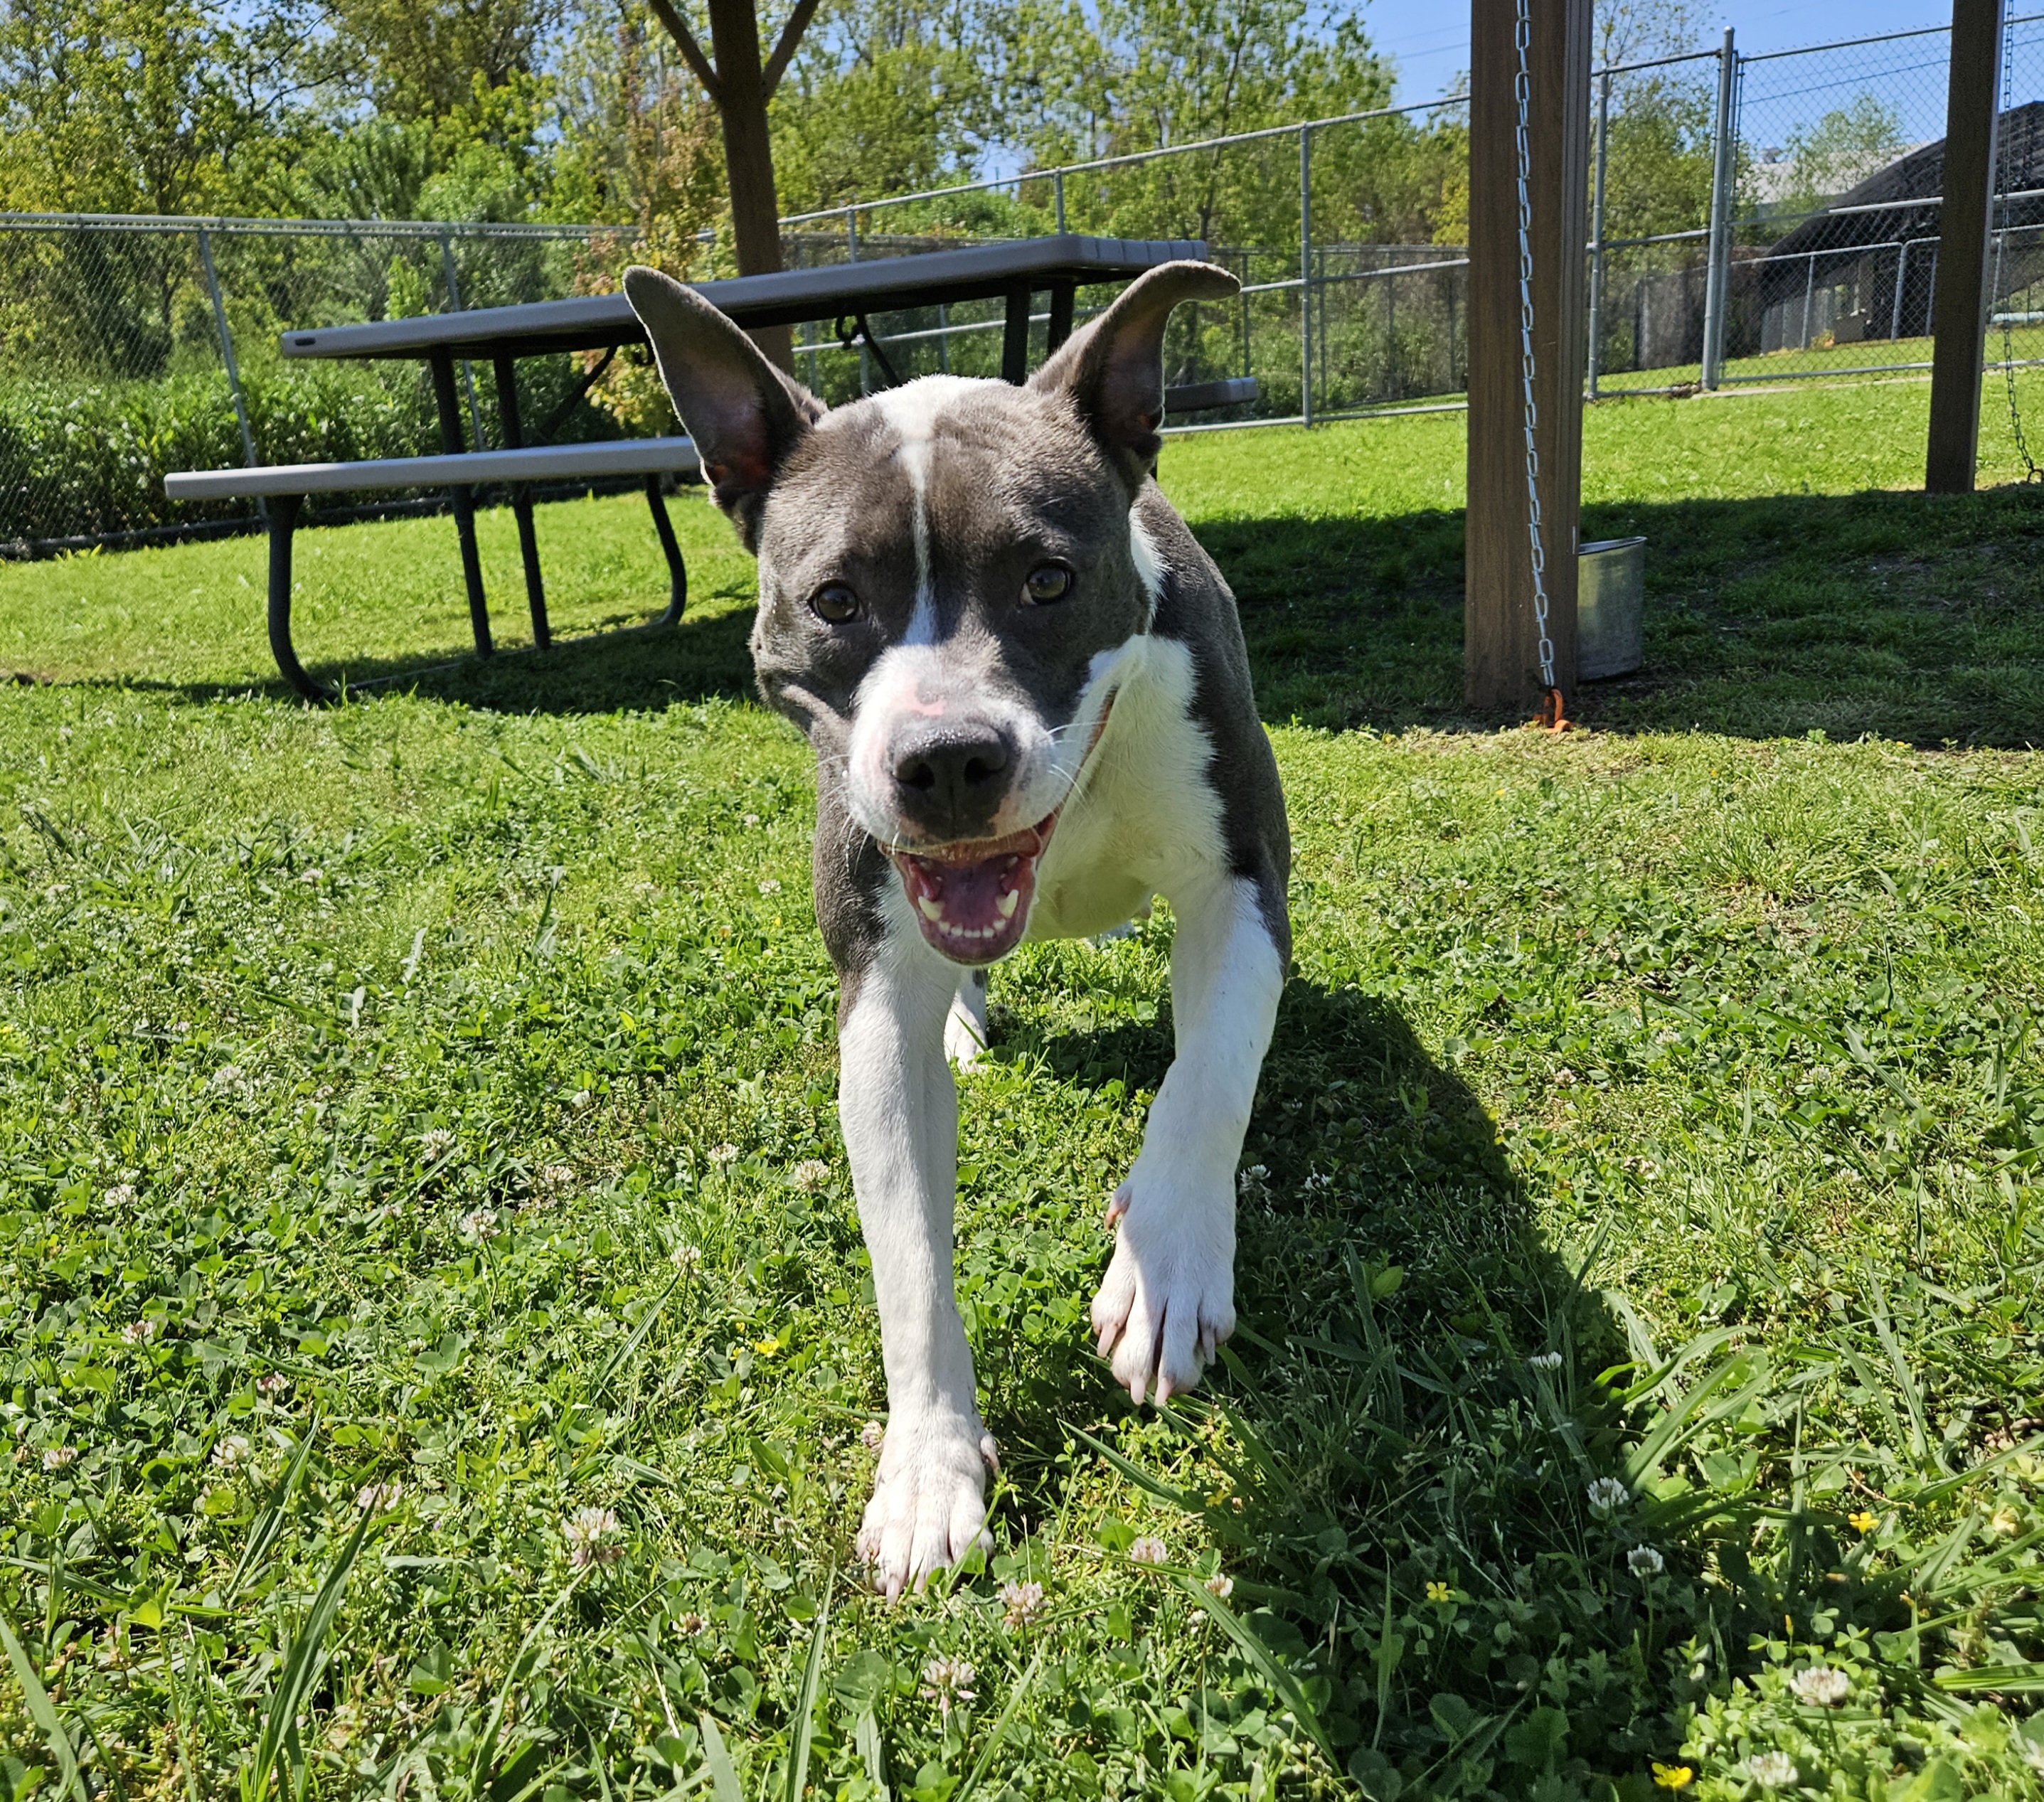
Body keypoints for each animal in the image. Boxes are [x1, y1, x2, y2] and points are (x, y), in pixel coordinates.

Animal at [625, 259, 1292, 1593]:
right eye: (834, 600)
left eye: (1047, 578)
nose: (944, 760)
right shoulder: (876, 999)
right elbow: (909, 1262)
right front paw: (930, 1470)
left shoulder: (1242, 885)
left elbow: (1202, 1081)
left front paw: (1163, 1261)